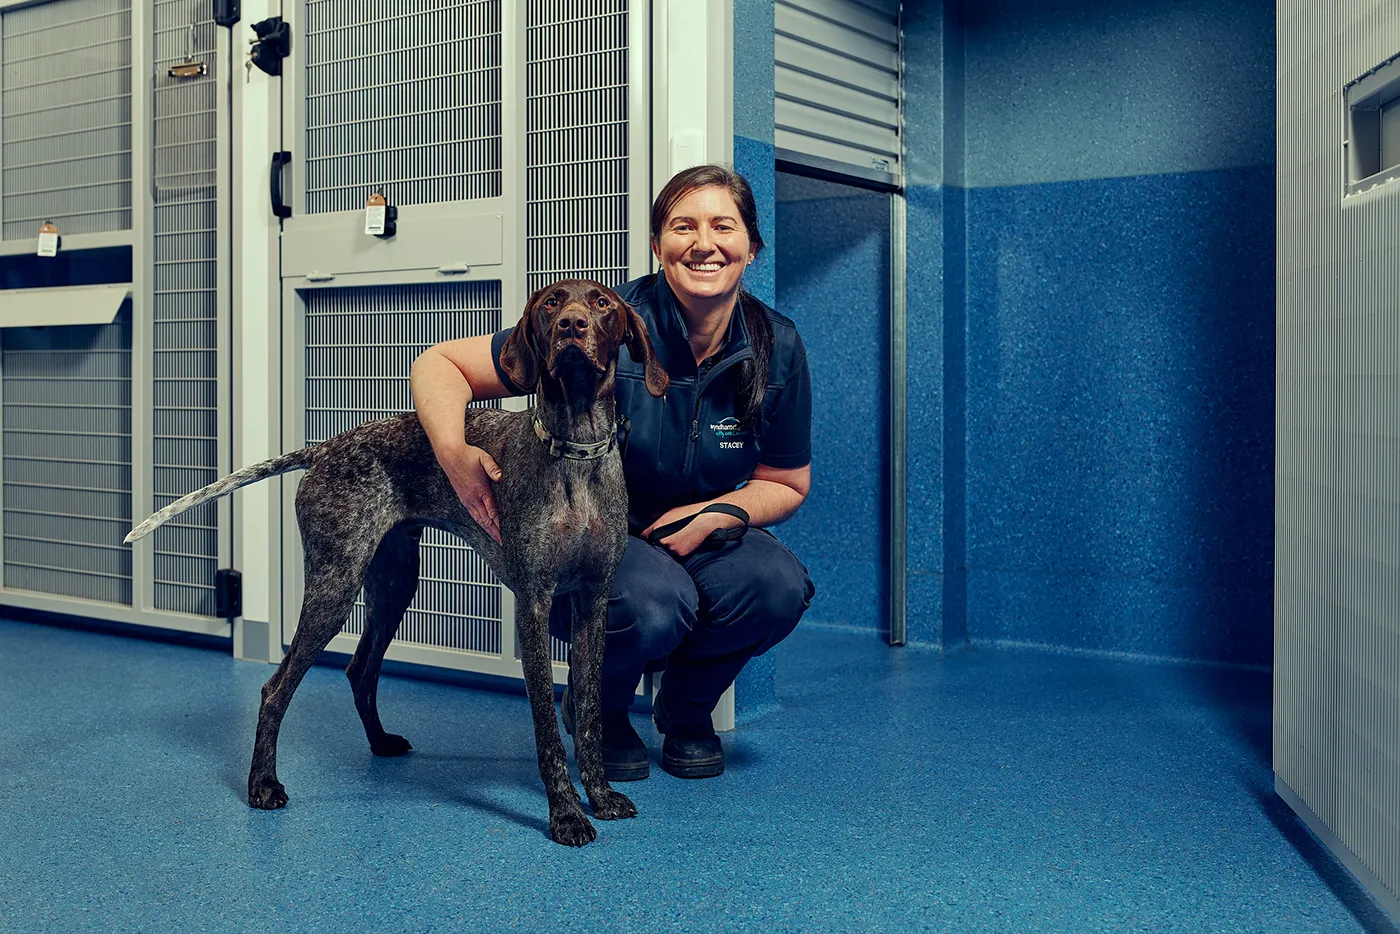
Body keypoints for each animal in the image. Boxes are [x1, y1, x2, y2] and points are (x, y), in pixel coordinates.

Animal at [123, 277, 669, 845]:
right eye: (549, 304)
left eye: (602, 303)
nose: (571, 326)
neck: (574, 453)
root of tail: (324, 449)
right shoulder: (533, 606)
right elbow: (546, 723)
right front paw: (564, 813)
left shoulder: (593, 603)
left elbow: (588, 713)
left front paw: (600, 795)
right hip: (335, 587)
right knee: (275, 689)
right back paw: (263, 786)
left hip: (393, 584)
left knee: (360, 670)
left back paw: (380, 742)